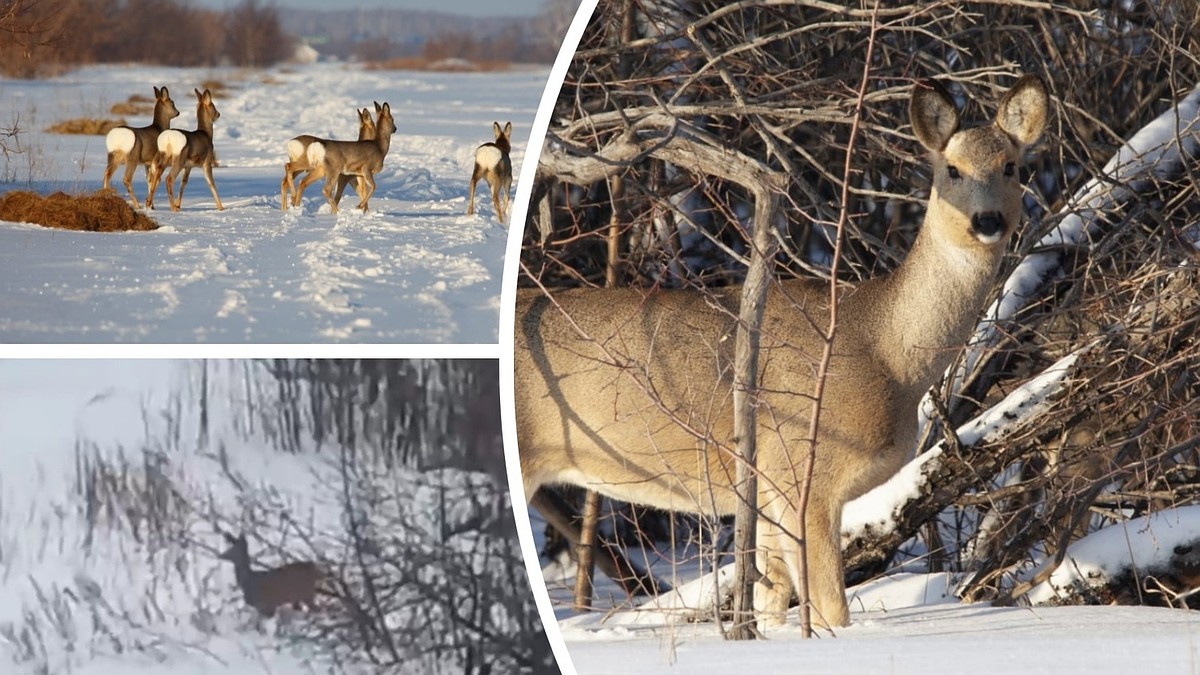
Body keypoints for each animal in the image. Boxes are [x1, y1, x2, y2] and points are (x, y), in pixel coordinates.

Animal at [516, 76, 1051, 629]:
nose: (987, 220)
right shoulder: (803, 471)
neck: (887, 352)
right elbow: (832, 610)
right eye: (952, 169)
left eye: (1011, 166)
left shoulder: (767, 492)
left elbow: (772, 601)